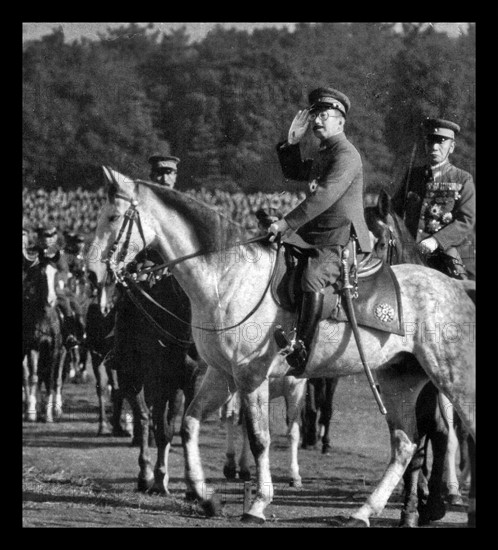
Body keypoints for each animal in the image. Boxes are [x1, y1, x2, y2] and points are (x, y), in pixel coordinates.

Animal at [22, 260, 66, 424]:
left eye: (56, 273)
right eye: (40, 275)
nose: (51, 300)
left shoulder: (54, 349)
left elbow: (52, 379)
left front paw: (48, 414)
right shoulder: (33, 348)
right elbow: (33, 377)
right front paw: (31, 412)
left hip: (62, 352)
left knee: (56, 378)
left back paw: (56, 409)